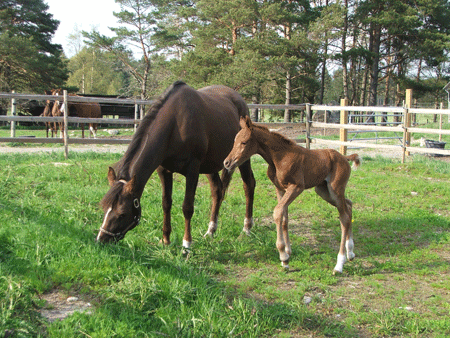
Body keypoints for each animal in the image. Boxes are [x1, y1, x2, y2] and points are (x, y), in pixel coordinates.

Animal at [225, 116, 362, 274]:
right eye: (234, 141)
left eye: (244, 142)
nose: (227, 163)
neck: (279, 158)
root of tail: (345, 157)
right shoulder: (280, 189)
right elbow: (284, 217)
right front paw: (287, 254)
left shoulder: (296, 187)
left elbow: (278, 212)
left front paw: (283, 256)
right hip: (323, 191)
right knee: (349, 205)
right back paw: (350, 252)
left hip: (335, 189)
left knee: (344, 218)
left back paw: (339, 264)